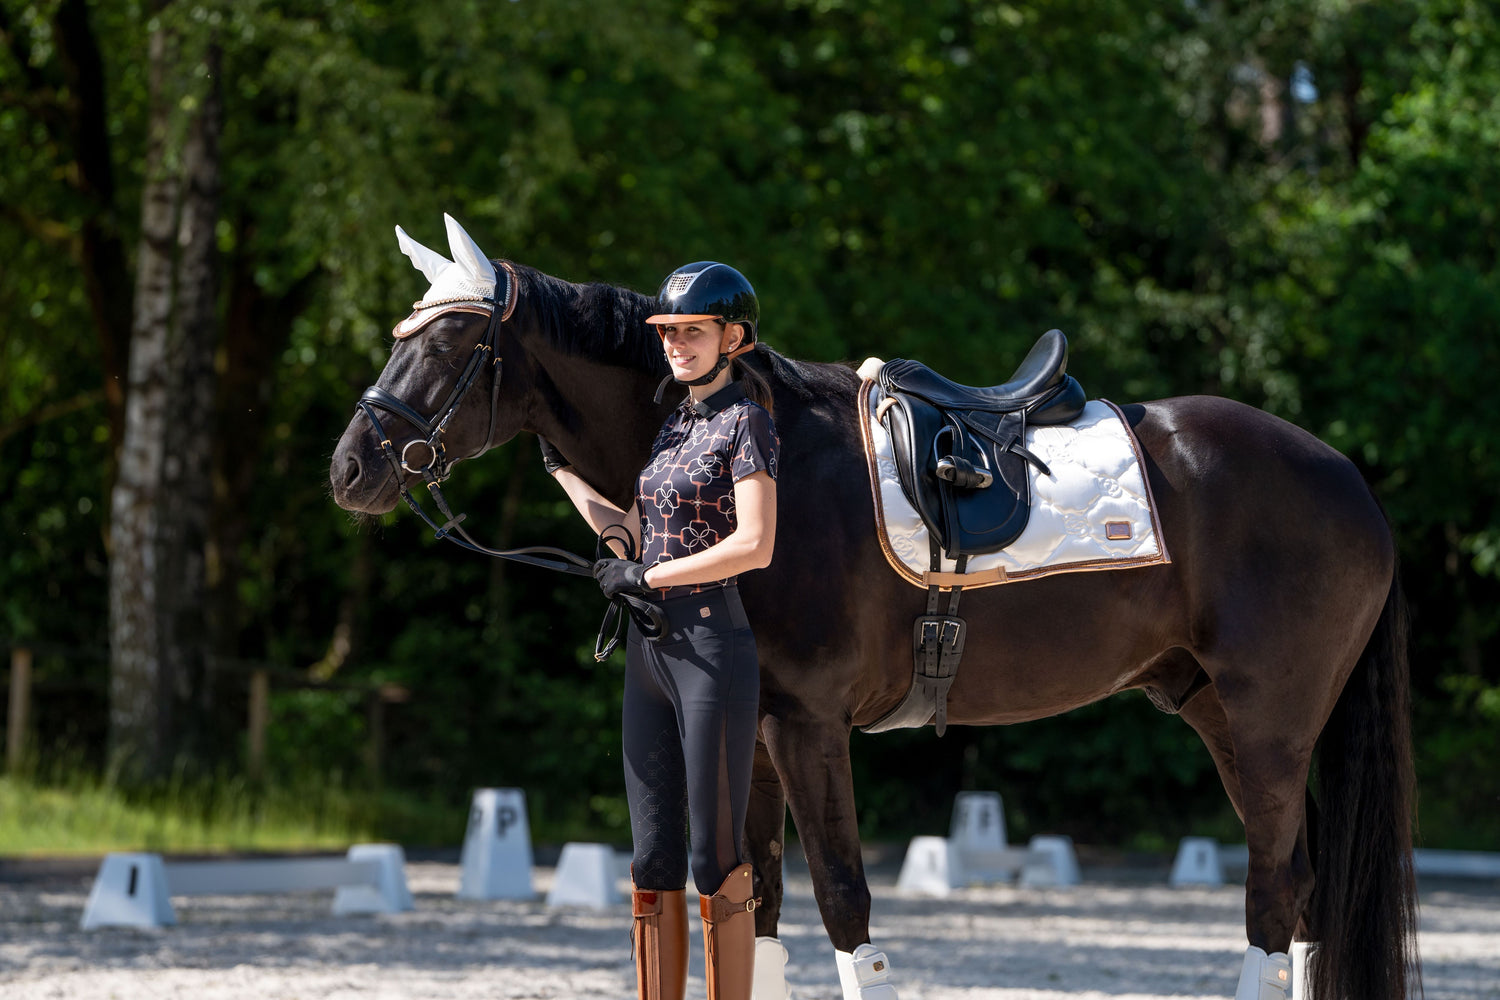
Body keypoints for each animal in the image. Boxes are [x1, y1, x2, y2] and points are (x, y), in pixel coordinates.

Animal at [330, 221, 1418, 1000]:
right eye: (399, 337)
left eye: (455, 339)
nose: (350, 468)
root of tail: (1348, 482)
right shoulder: (752, 730)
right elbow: (754, 907)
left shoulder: (810, 725)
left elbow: (845, 908)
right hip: (1225, 719)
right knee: (1305, 896)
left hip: (1269, 727)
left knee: (1272, 897)